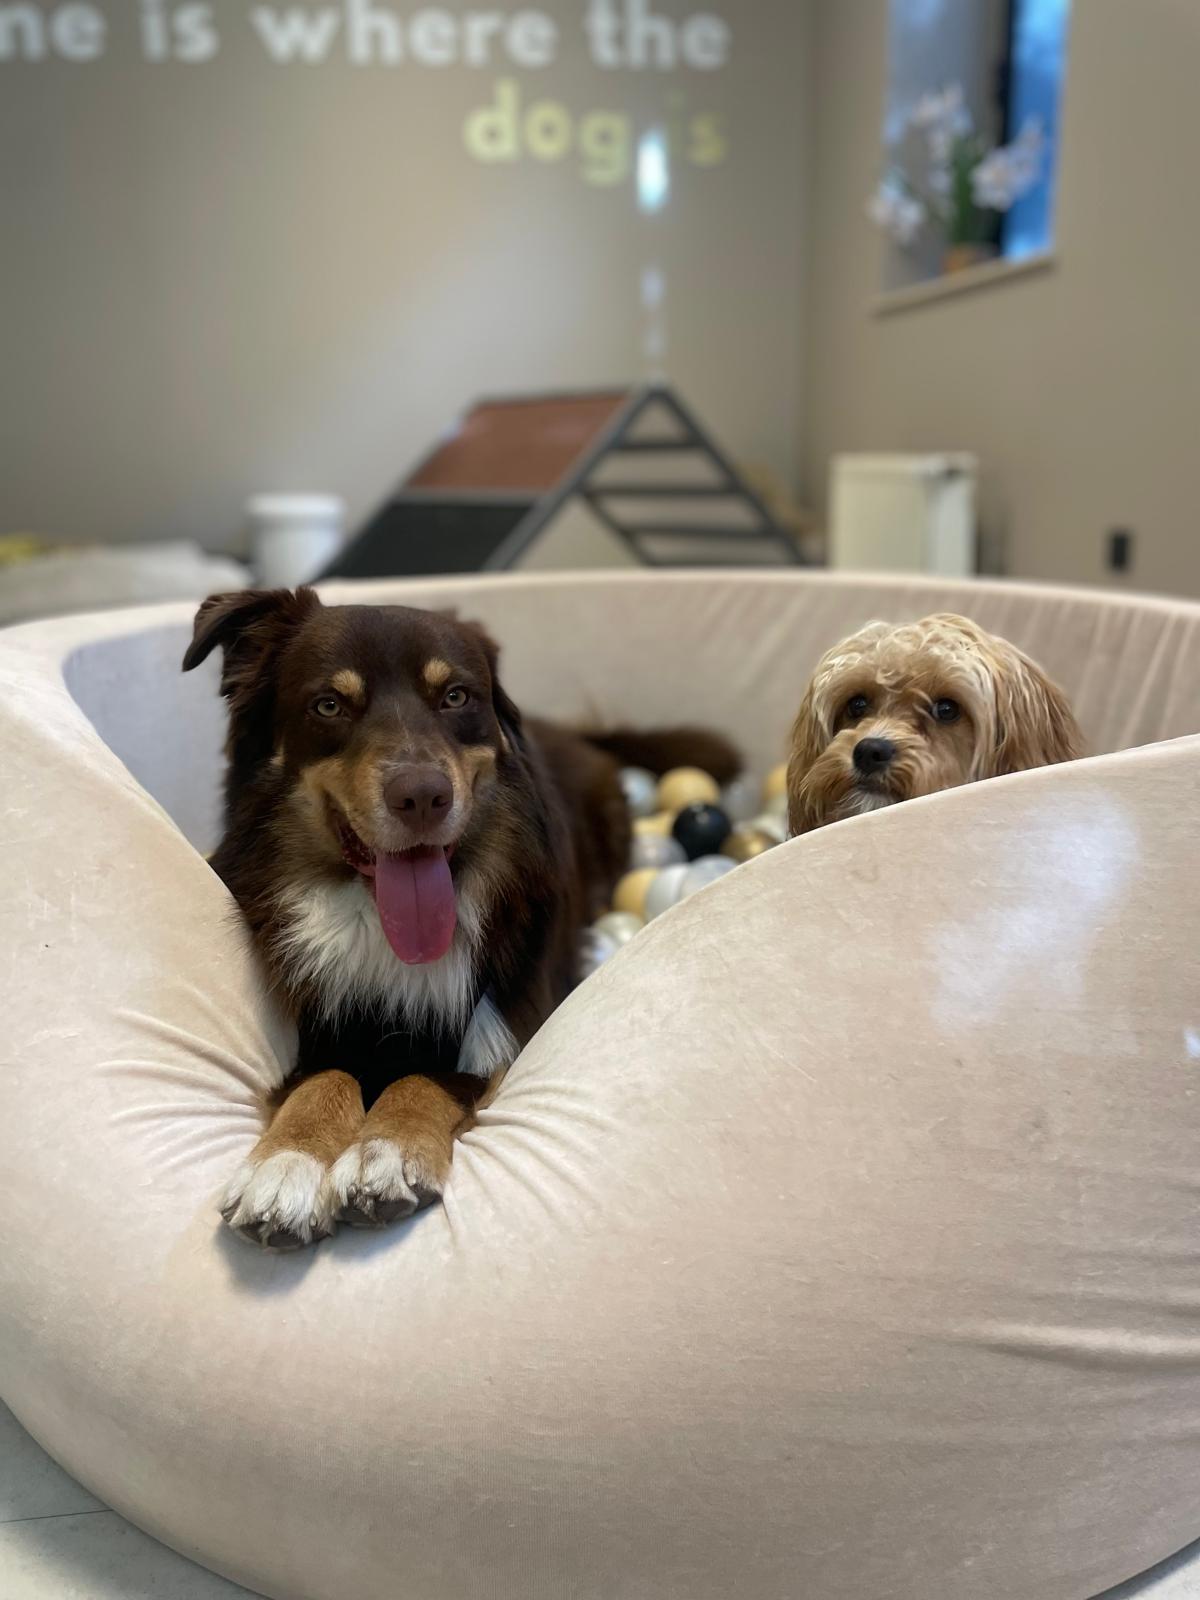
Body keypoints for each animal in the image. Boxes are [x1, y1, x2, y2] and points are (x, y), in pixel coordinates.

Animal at [184, 586, 736, 1249]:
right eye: (329, 705)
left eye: (455, 697)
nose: (422, 796)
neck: (376, 922)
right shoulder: (318, 1026)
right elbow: (324, 1077)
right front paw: (287, 1164)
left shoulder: (502, 1028)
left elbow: (429, 1078)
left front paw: (386, 1150)